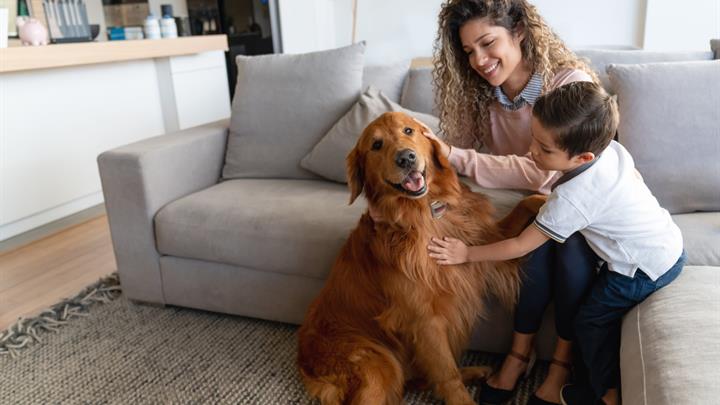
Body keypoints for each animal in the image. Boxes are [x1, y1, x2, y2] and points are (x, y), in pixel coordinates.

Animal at [296, 111, 540, 404]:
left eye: (408, 130)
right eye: (376, 145)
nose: (406, 158)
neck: (425, 213)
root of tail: (303, 357)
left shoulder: (486, 240)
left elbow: (525, 206)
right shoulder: (424, 320)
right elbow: (447, 374)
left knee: (418, 380)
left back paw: (476, 371)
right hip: (379, 365)